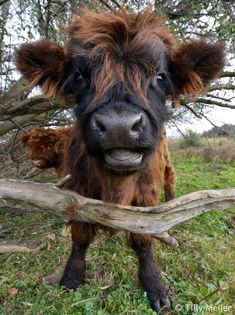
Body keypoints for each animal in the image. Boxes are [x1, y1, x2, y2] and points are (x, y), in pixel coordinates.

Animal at [14, 8, 224, 314]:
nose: (118, 126)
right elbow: (80, 236)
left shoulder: (146, 195)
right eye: (80, 76)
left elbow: (143, 239)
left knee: (170, 182)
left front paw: (155, 287)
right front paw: (72, 276)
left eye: (159, 76)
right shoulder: (75, 191)